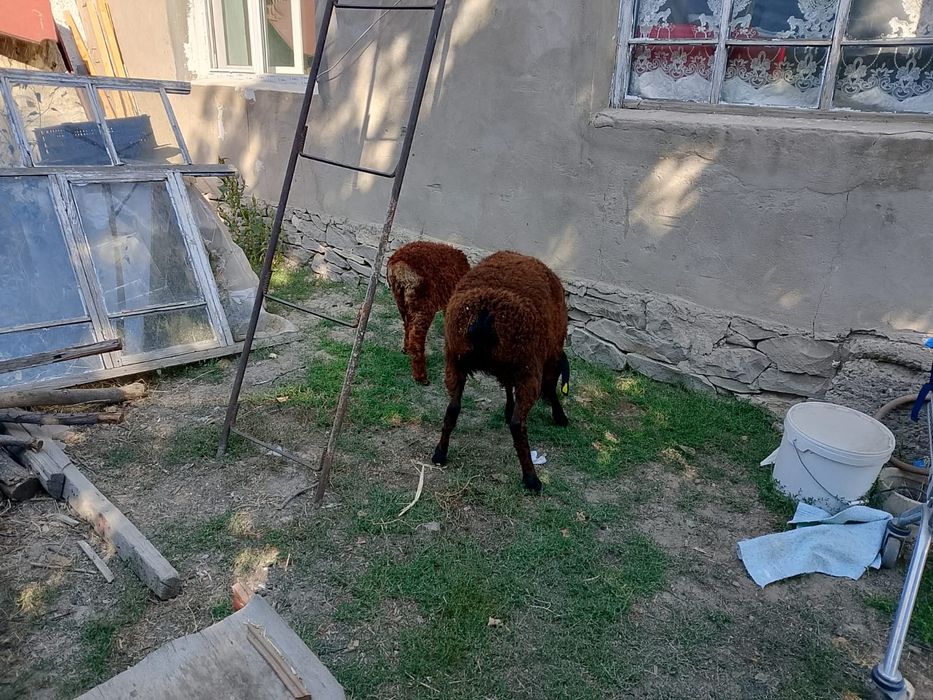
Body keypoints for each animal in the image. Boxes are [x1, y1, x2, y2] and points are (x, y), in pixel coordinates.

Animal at [386, 241, 470, 384]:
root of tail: (399, 263)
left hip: (401, 298)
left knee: (407, 325)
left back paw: (406, 350)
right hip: (424, 303)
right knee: (416, 338)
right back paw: (421, 377)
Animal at [431, 251, 570, 492]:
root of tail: (485, 313)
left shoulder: (508, 368)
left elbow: (506, 385)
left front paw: (508, 408)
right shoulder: (544, 362)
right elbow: (549, 389)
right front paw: (560, 416)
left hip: (454, 361)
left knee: (452, 409)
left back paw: (440, 453)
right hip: (527, 368)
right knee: (517, 424)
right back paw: (532, 479)